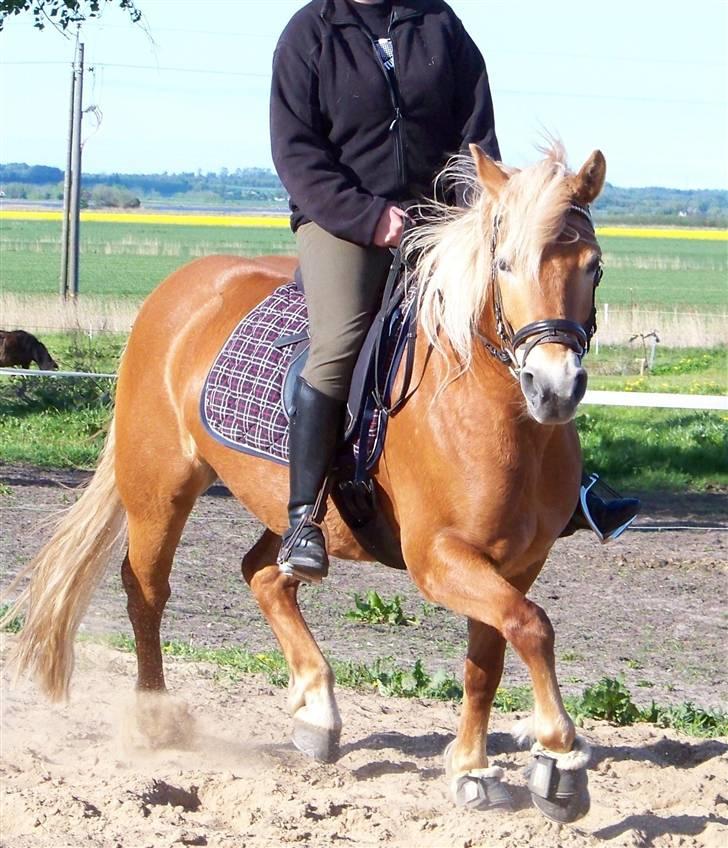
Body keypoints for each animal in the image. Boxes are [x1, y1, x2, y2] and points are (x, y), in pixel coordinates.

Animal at [2, 146, 608, 820]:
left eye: (594, 266)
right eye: (503, 264)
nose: (553, 387)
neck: (493, 414)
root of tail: (179, 290)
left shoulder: (516, 563)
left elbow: (492, 655)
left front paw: (474, 769)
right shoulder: (439, 559)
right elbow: (532, 627)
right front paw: (560, 758)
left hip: (294, 512)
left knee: (264, 574)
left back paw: (318, 711)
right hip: (159, 488)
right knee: (147, 591)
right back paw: (157, 717)